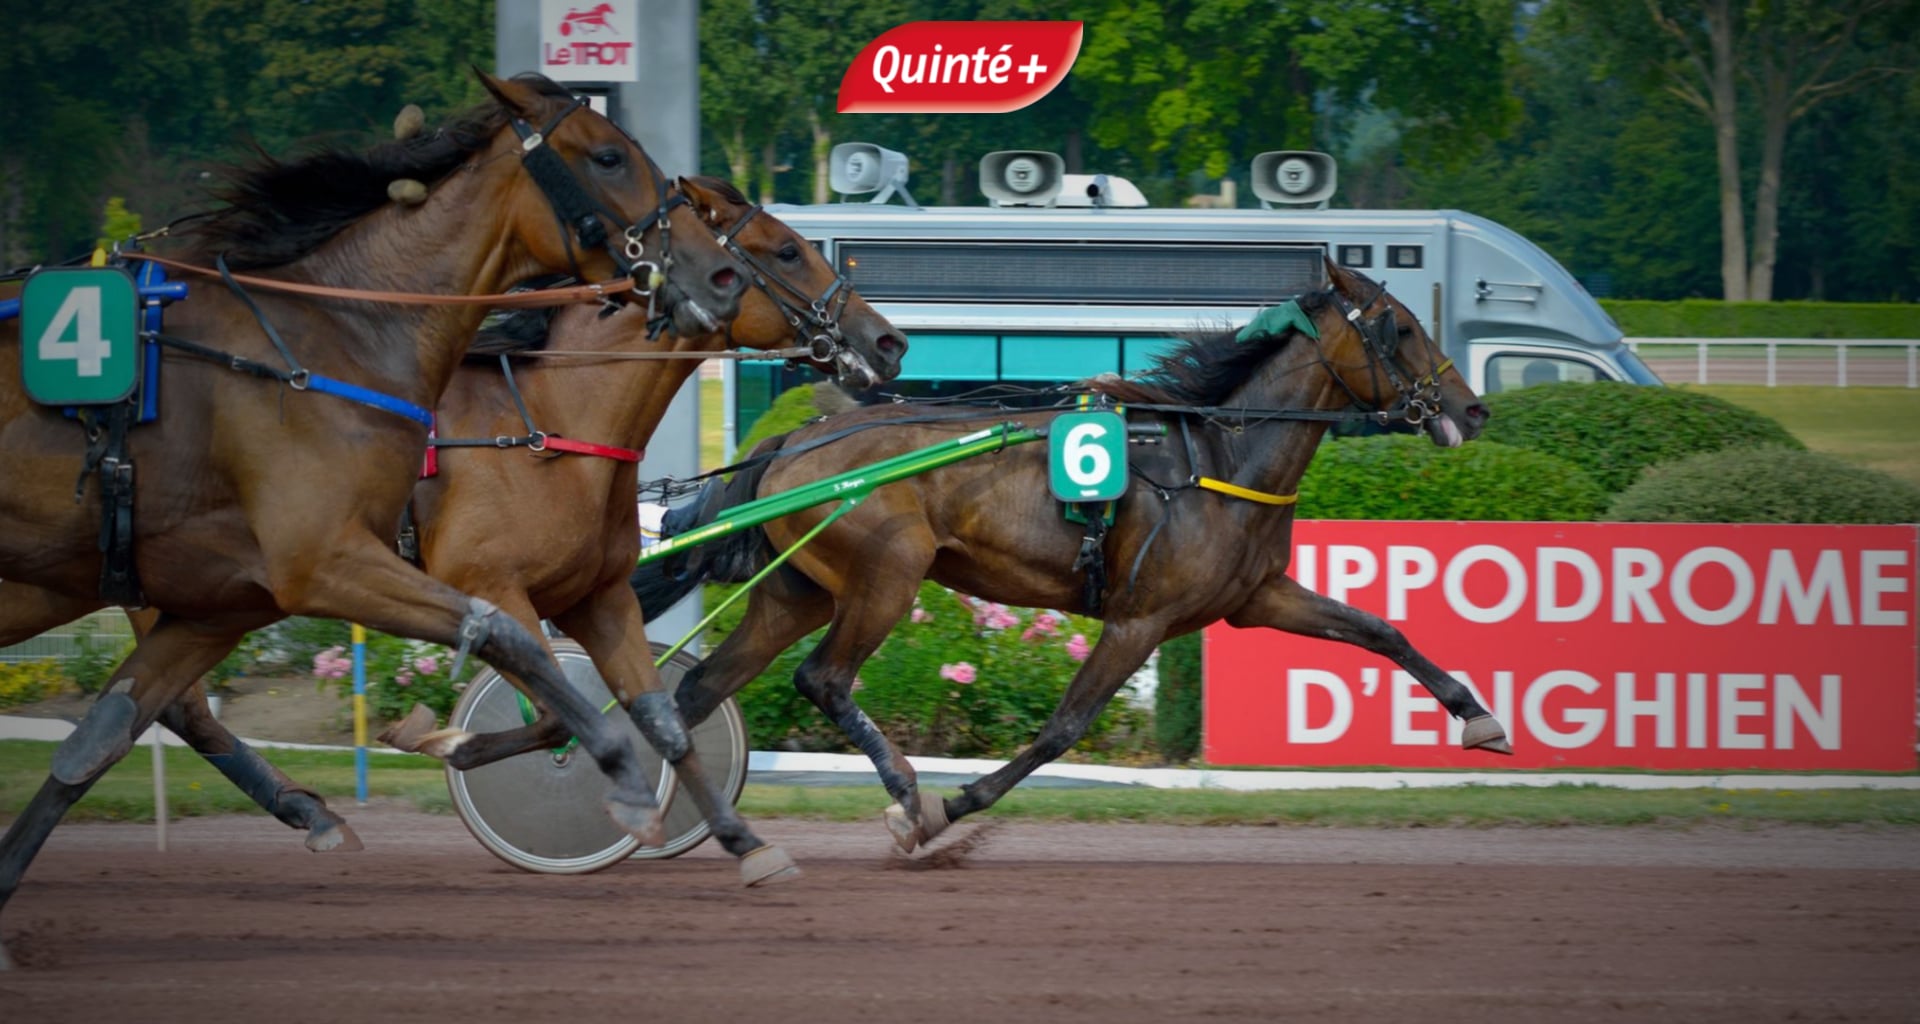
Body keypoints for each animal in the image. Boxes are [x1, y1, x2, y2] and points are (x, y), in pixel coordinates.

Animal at [0, 72, 744, 956]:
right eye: (607, 155)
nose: (721, 275)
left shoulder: (227, 598)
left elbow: (96, 740)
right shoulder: (330, 562)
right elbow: (508, 639)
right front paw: (612, 775)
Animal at [641, 259, 1512, 849]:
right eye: (1401, 328)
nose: (1473, 408)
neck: (1218, 460)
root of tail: (793, 440)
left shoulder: (1256, 598)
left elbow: (1379, 630)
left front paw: (1480, 719)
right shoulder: (1139, 619)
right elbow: (1064, 726)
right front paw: (954, 805)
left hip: (798, 591)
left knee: (697, 693)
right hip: (887, 573)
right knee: (822, 678)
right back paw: (907, 795)